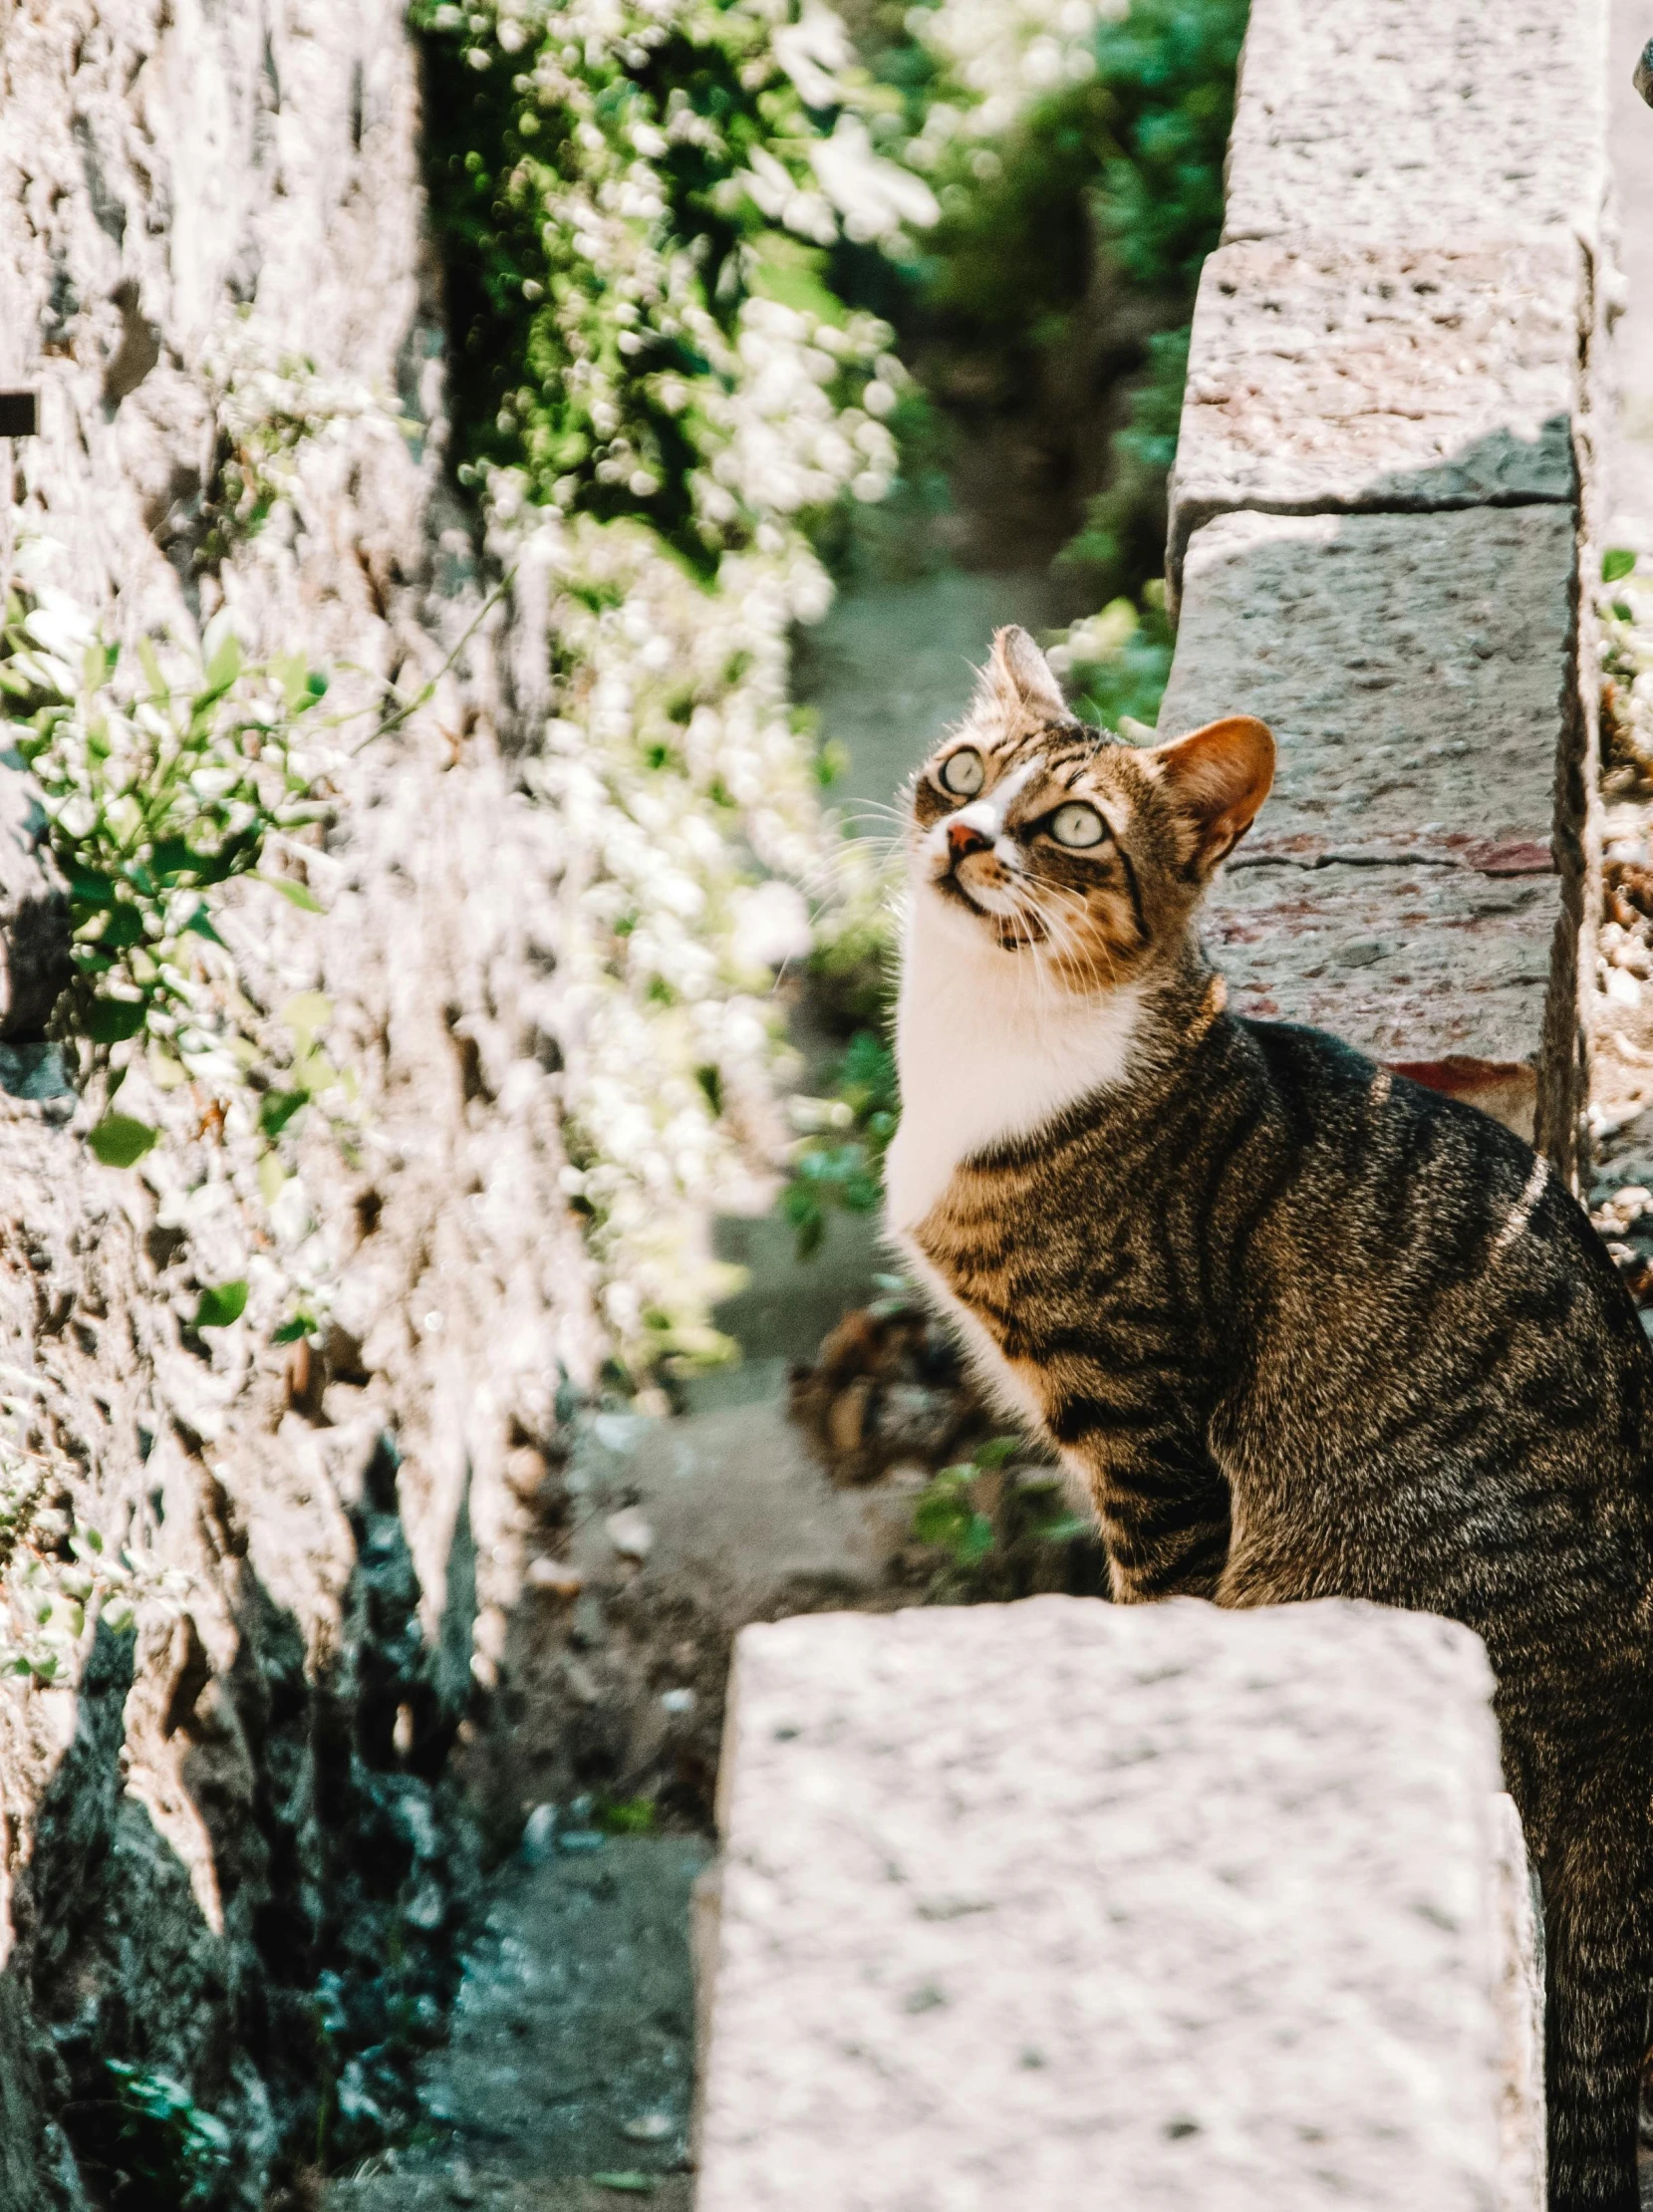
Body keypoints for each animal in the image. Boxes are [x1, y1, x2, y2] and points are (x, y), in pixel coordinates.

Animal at [894, 624, 1653, 2212]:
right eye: (962, 766)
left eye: (1070, 827)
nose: (962, 832)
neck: (983, 1042)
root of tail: (1618, 1730)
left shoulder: (1143, 1431)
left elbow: (1151, 1601)